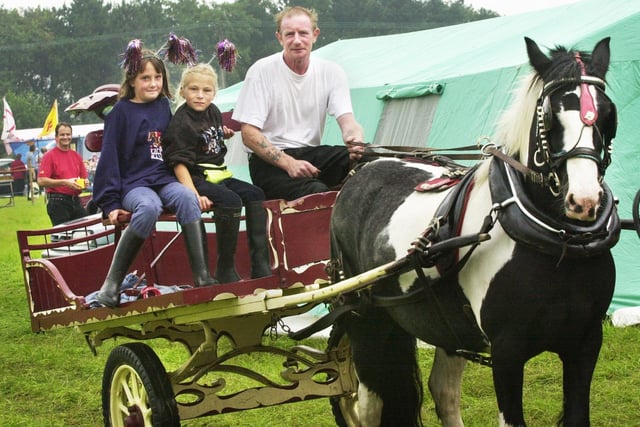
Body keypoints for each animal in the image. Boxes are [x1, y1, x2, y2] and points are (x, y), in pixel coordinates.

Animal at [330, 37, 620, 427]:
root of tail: (361, 170)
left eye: (607, 115)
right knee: (369, 403)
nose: (584, 201)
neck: (558, 245)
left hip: (444, 324)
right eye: (548, 117)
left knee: (443, 391)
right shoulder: (507, 351)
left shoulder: (586, 342)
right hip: (365, 316)